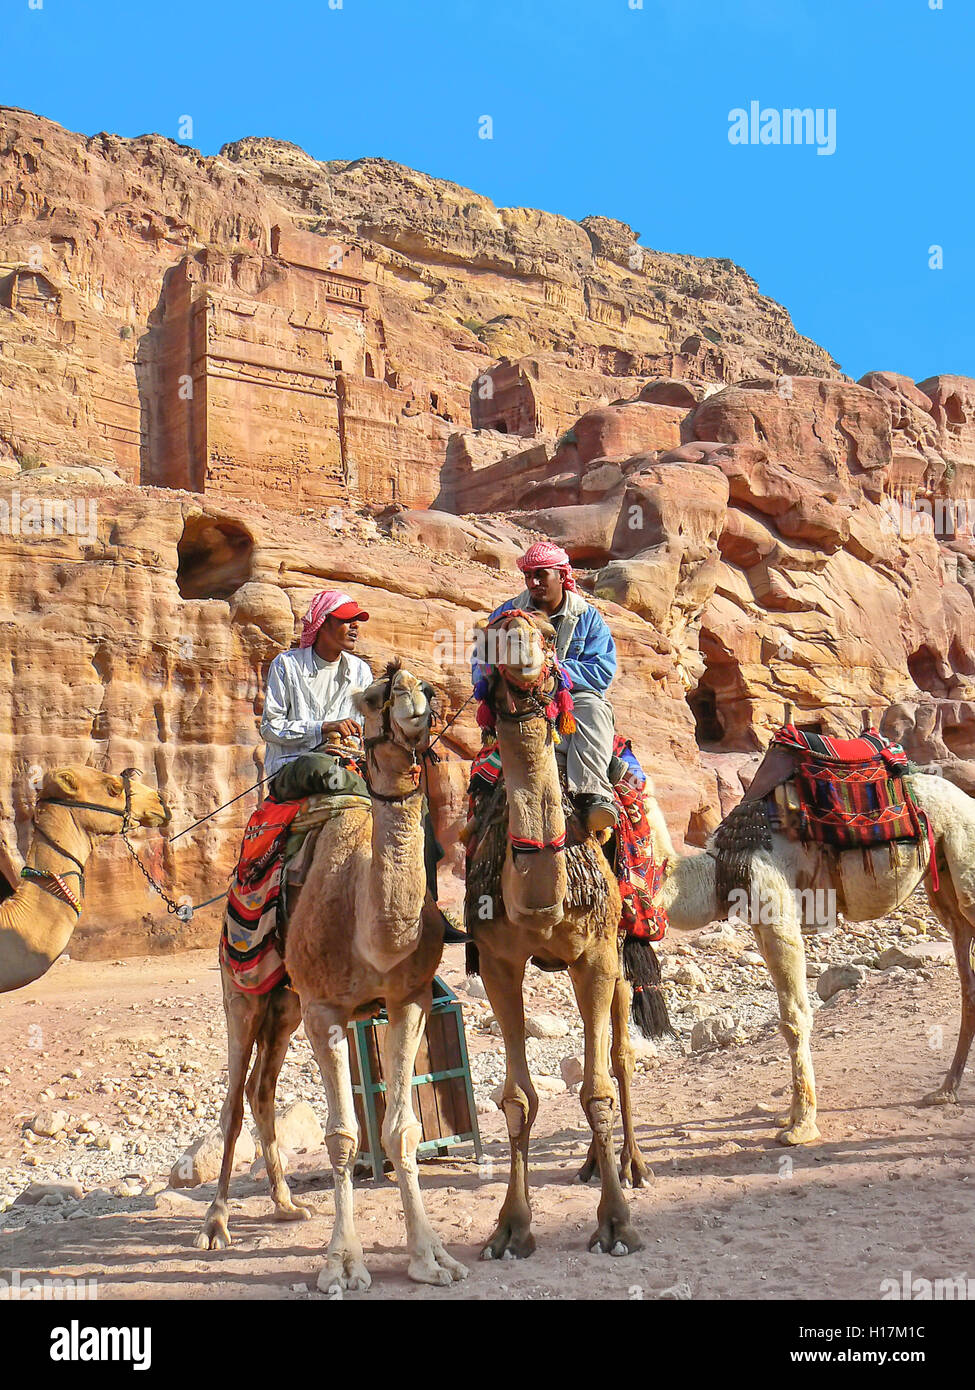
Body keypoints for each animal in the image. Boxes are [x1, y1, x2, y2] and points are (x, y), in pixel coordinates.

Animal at [470, 611, 650, 1262]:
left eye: (550, 639)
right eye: (492, 632)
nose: (520, 648)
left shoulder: (595, 954)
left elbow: (596, 1088)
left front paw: (618, 1225)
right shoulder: (497, 960)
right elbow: (517, 1100)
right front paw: (510, 1229)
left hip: (619, 947)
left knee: (620, 1057)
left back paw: (631, 1166)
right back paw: (593, 1165)